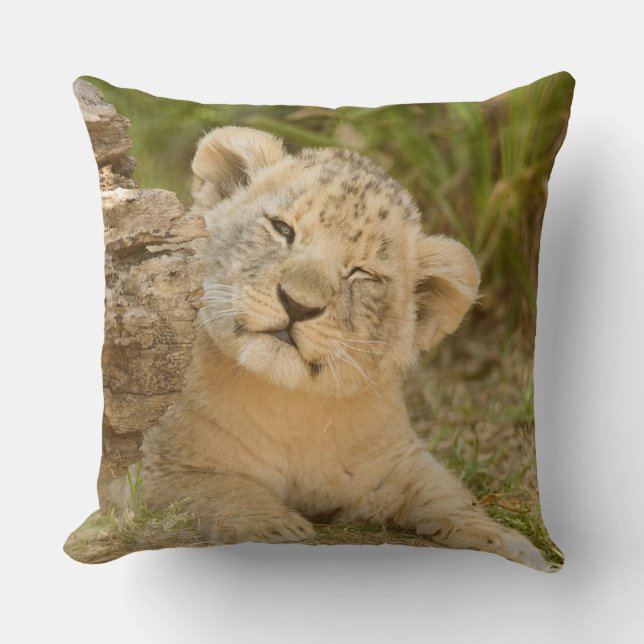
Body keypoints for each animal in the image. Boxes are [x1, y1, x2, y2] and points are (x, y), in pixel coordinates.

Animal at [131, 126, 549, 570]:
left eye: (363, 273)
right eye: (282, 228)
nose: (298, 304)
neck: (288, 409)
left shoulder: (394, 465)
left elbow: (451, 495)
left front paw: (513, 546)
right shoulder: (154, 469)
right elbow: (221, 488)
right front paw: (275, 528)